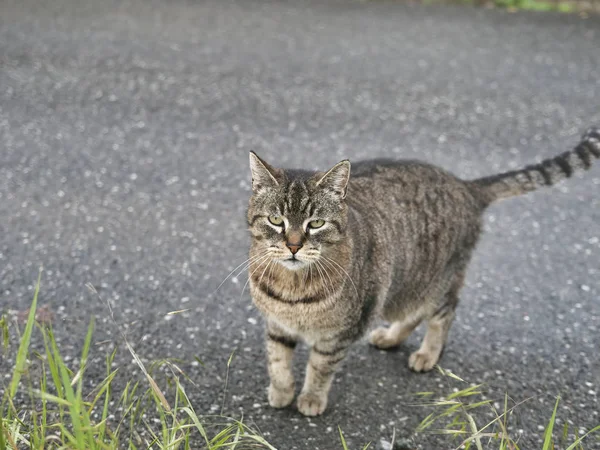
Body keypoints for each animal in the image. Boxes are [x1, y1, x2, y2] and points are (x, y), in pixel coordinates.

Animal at [245, 125, 600, 414]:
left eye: (316, 223)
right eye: (276, 220)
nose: (293, 245)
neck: (293, 289)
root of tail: (465, 185)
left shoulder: (340, 334)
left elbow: (320, 368)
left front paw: (311, 398)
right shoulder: (276, 324)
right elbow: (277, 360)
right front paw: (282, 392)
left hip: (435, 282)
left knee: (444, 313)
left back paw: (428, 353)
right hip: (404, 289)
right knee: (414, 313)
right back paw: (391, 337)